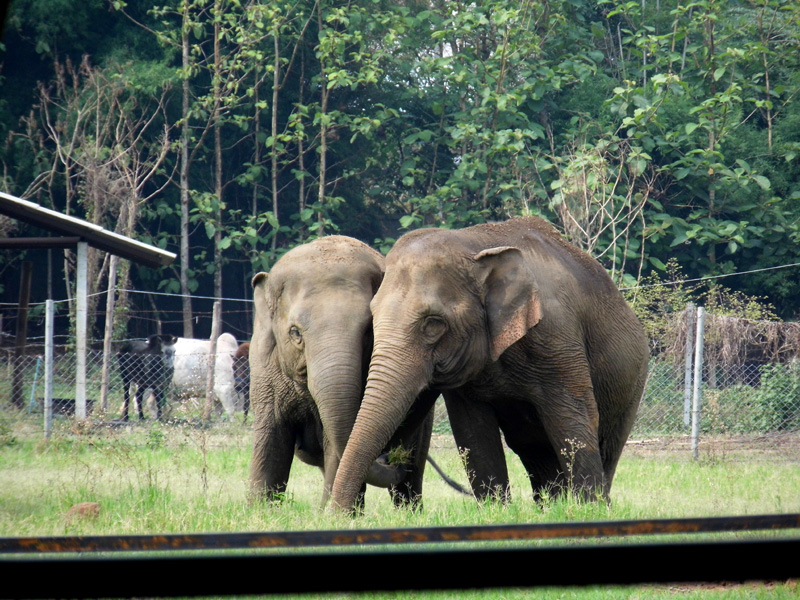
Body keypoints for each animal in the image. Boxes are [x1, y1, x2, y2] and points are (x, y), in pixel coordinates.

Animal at [248, 235, 435, 509]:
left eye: (369, 330)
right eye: (295, 332)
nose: (388, 457)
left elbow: (338, 443)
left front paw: (333, 513)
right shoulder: (264, 367)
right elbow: (271, 439)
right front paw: (262, 510)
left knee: (411, 474)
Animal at [331, 217, 650, 511]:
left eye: (433, 324)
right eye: (372, 318)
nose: (337, 517)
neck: (473, 245)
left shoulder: (557, 335)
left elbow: (573, 420)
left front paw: (588, 510)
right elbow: (474, 433)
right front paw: (496, 511)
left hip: (632, 383)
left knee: (606, 443)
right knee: (535, 451)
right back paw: (549, 507)